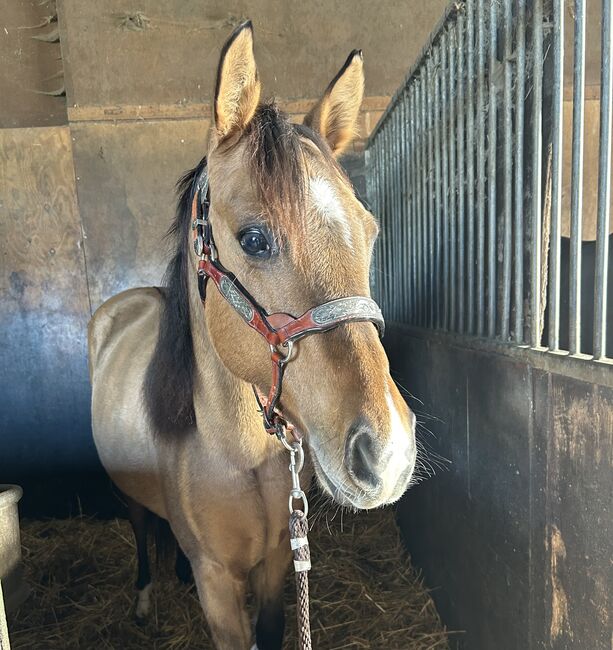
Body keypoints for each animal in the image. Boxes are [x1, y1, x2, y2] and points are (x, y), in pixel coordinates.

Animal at [88, 20, 416, 648]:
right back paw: (144, 598)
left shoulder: (276, 562)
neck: (235, 454)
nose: (387, 455)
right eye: (256, 239)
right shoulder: (218, 584)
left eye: (369, 230)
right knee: (142, 531)